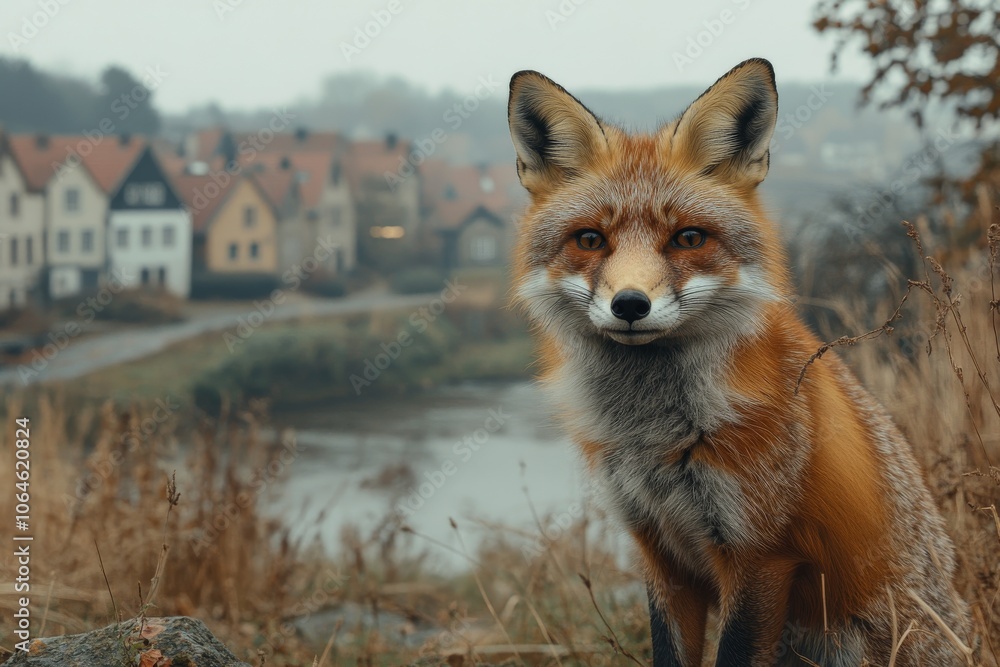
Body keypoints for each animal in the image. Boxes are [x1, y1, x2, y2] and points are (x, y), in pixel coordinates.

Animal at [506, 58, 972, 666]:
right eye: (590, 240)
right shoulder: (659, 552)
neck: (656, 435)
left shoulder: (761, 555)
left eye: (688, 238)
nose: (630, 304)